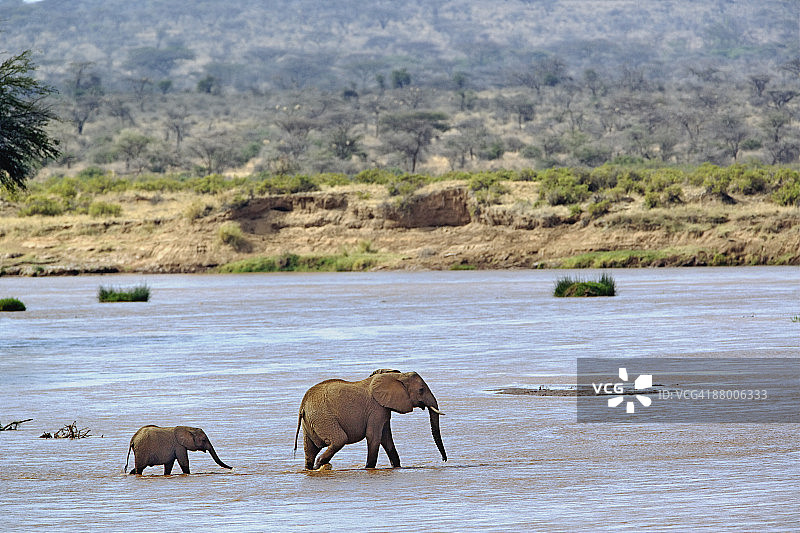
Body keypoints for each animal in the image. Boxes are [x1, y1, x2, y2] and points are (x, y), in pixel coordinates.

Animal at [294, 369, 447, 470]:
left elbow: (386, 438)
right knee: (339, 440)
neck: (395, 375)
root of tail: (303, 406)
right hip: (323, 417)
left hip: (311, 421)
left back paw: (311, 468)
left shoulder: (383, 410)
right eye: (421, 390)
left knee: (310, 449)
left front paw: (396, 466)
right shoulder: (376, 409)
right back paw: (320, 465)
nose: (444, 460)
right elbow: (374, 436)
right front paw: (369, 468)